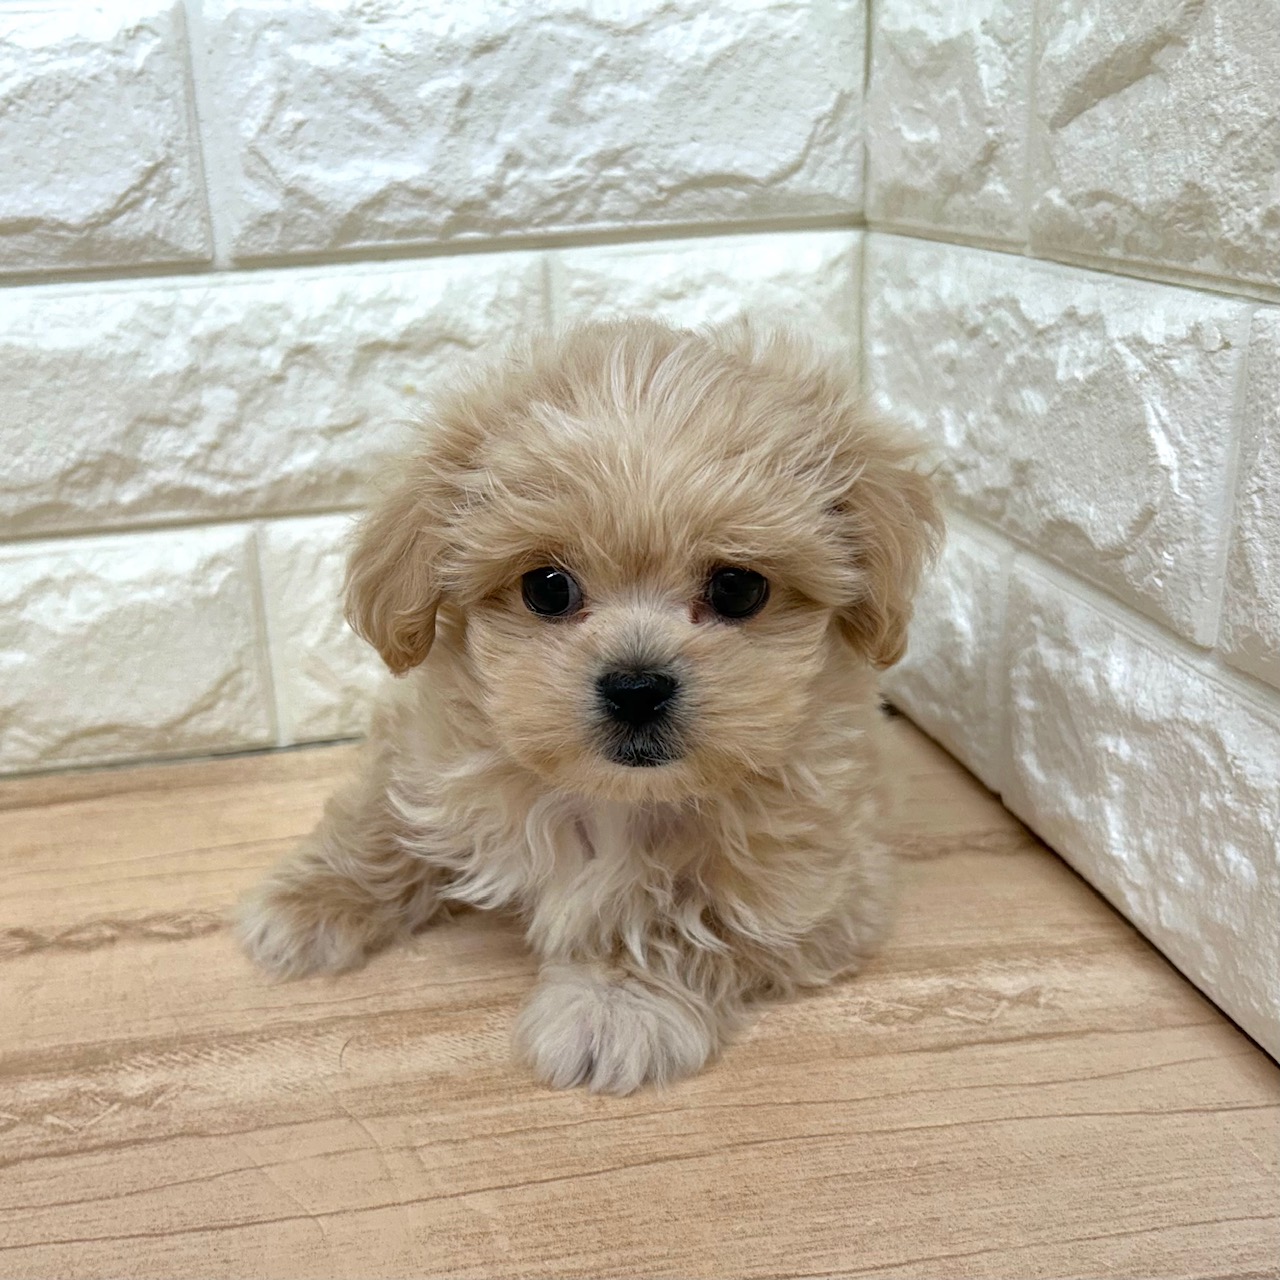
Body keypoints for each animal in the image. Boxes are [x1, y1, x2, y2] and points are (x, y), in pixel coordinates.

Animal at [237, 317, 942, 1093]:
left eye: (738, 589)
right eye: (546, 587)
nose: (636, 687)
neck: (616, 796)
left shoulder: (812, 885)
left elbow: (687, 917)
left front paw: (615, 1005)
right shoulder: (422, 746)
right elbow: (377, 816)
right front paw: (310, 899)